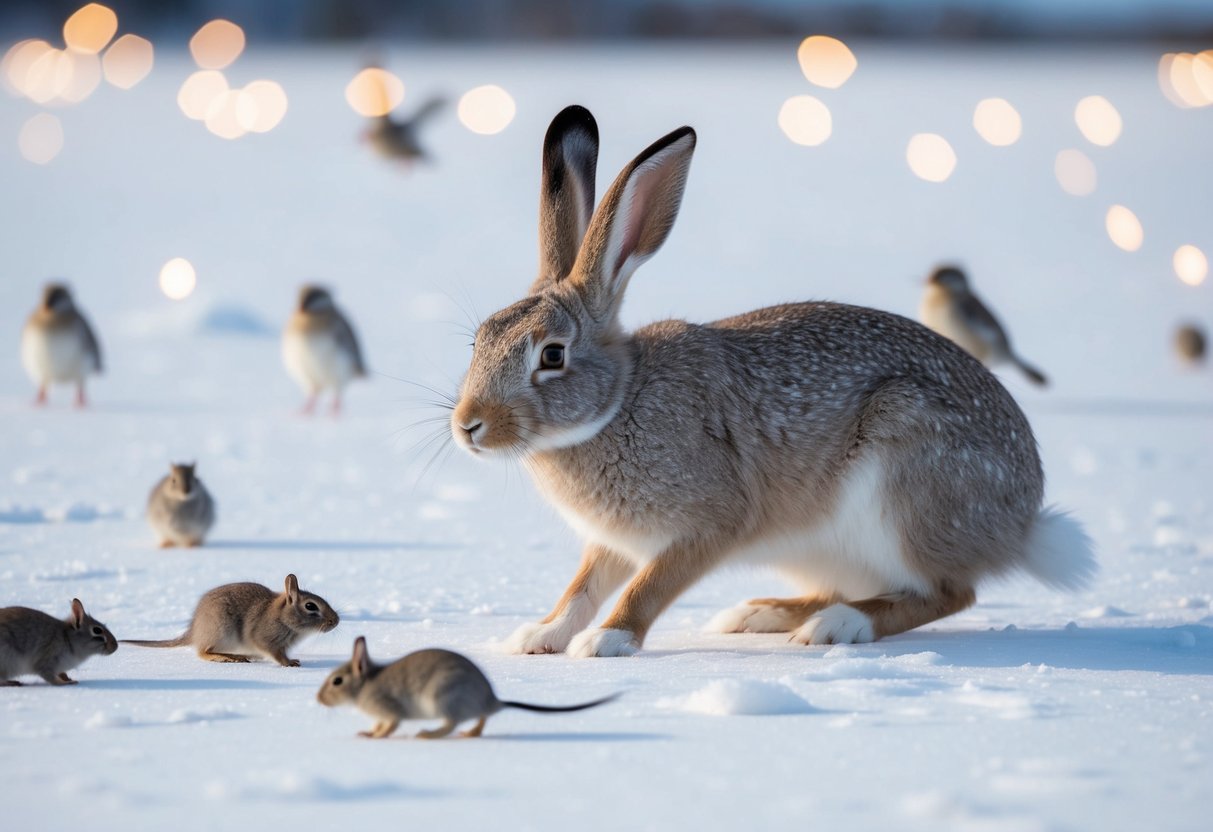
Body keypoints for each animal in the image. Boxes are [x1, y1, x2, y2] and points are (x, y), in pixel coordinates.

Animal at [121, 574, 339, 666]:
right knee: (203, 652)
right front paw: (290, 663)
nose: (335, 621)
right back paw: (231, 657)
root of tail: (194, 631)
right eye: (311, 606)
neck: (283, 617)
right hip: (221, 631)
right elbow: (276, 656)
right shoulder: (267, 641)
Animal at [282, 285, 368, 415]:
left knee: (336, 396)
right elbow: (312, 393)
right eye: (300, 296)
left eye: (315, 295)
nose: (300, 307)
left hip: (339, 372)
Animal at [317, 636, 617, 739]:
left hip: (441, 698)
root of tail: (493, 700)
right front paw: (367, 732)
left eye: (337, 681)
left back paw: (428, 734)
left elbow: (388, 727)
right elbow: (378, 725)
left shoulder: (390, 711)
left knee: (451, 724)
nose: (319, 700)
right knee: (481, 720)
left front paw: (373, 737)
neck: (365, 685)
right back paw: (470, 733)